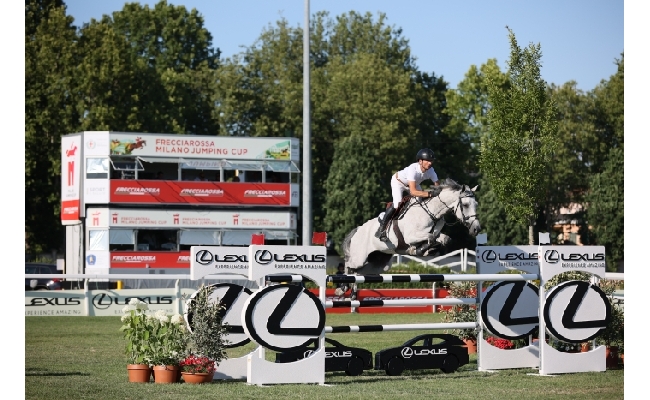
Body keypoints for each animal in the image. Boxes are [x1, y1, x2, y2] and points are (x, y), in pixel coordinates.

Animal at [336, 180, 478, 280]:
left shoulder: (434, 234)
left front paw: (428, 250)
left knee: (359, 273)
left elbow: (443, 239)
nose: (476, 229)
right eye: (466, 205)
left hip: (377, 264)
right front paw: (418, 250)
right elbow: (430, 238)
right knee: (349, 267)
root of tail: (357, 231)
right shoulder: (411, 236)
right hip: (358, 258)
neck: (431, 212)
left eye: (476, 204)